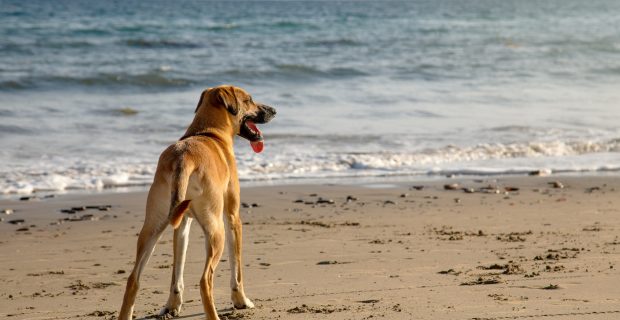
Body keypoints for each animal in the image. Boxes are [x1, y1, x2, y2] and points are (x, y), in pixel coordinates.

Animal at [118, 85, 276, 320]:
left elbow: (177, 271)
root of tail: (183, 159)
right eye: (249, 100)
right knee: (205, 280)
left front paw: (172, 305)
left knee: (133, 278)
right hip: (216, 230)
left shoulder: (182, 224)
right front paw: (241, 300)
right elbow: (237, 267)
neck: (209, 132)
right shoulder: (233, 217)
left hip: (152, 226)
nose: (274, 110)